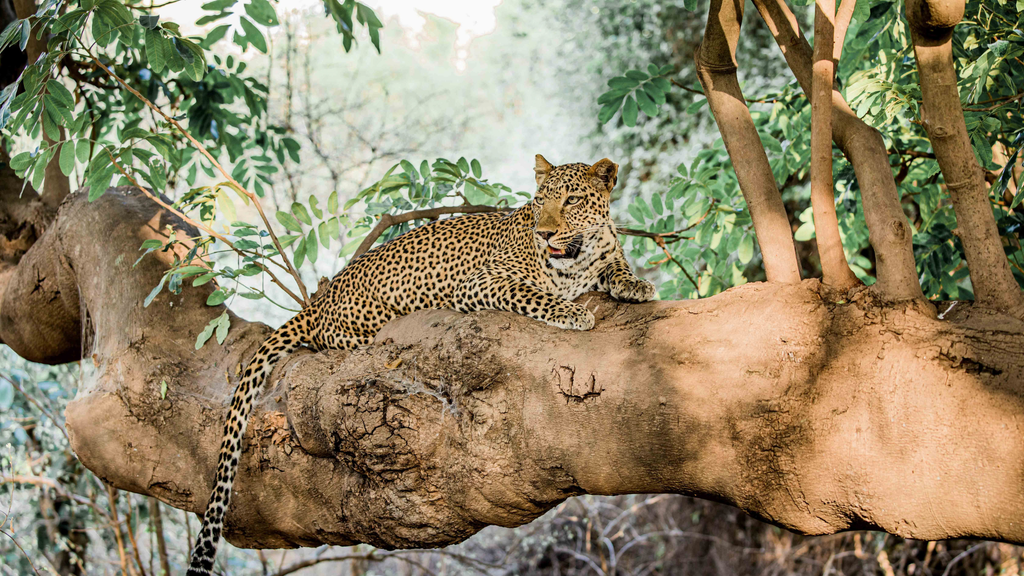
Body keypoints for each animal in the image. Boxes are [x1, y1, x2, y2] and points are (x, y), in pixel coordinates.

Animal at [186, 155, 656, 575]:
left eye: (572, 200)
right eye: (540, 201)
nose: (545, 233)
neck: (577, 258)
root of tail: (322, 297)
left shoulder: (601, 254)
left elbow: (616, 265)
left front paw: (636, 284)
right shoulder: (482, 282)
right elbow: (534, 294)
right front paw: (573, 312)